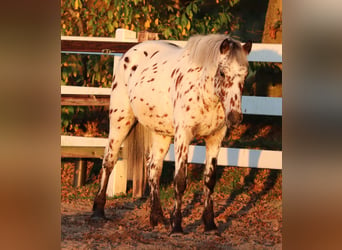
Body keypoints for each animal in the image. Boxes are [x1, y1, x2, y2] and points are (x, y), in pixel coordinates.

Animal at [91, 33, 251, 234]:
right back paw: (98, 211)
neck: (202, 91)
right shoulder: (183, 135)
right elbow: (180, 180)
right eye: (222, 72)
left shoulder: (215, 138)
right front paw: (177, 226)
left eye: (245, 74)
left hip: (161, 133)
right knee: (109, 161)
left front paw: (210, 224)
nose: (235, 117)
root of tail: (131, 52)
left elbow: (209, 180)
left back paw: (157, 217)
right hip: (120, 121)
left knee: (153, 168)